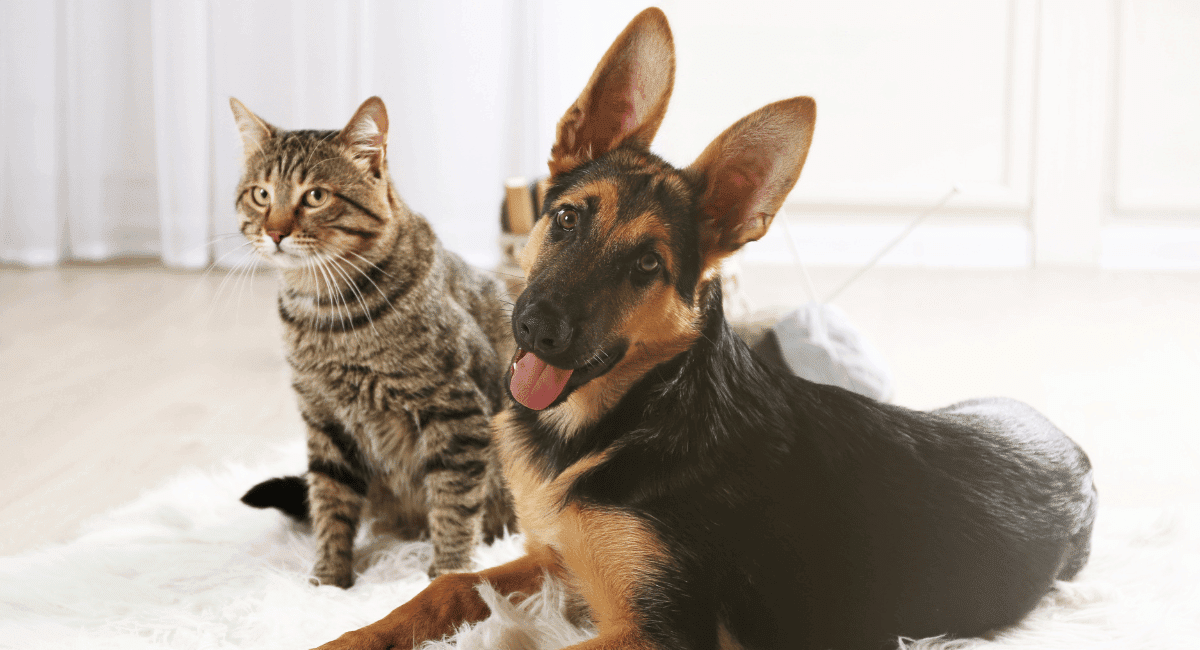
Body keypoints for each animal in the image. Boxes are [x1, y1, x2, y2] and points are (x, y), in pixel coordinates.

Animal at [229, 98, 516, 590]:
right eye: (261, 194)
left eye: (315, 196)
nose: (275, 232)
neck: (326, 318)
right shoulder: (323, 419)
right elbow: (330, 500)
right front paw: (329, 580)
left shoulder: (457, 411)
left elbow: (454, 501)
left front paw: (449, 573)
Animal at [316, 6, 1099, 650]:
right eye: (566, 218)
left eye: (647, 266)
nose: (536, 328)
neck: (643, 408)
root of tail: (1068, 445)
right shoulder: (555, 560)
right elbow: (445, 586)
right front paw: (352, 635)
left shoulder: (661, 631)